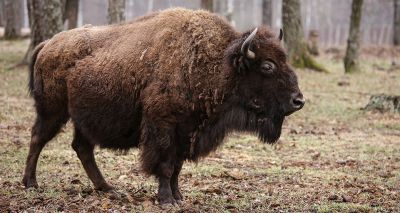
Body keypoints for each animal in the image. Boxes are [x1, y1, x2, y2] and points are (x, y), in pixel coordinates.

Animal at [21, 7, 304, 205]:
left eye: (285, 60)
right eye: (267, 66)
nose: (298, 100)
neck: (218, 63)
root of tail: (48, 44)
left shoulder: (187, 131)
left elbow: (177, 167)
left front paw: (178, 197)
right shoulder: (164, 126)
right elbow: (166, 165)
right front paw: (166, 199)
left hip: (83, 119)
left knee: (82, 148)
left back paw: (109, 189)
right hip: (53, 111)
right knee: (38, 138)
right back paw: (30, 183)